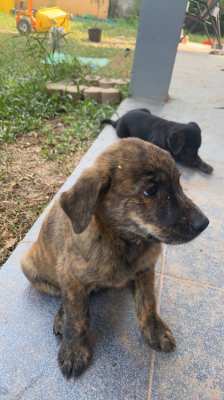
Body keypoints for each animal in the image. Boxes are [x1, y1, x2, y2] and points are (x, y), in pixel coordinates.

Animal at [20, 139, 208, 380]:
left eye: (178, 183)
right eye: (151, 191)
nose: (204, 223)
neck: (122, 241)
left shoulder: (146, 269)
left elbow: (148, 302)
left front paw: (155, 330)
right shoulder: (70, 275)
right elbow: (76, 315)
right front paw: (73, 349)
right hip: (31, 268)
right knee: (63, 297)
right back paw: (62, 316)